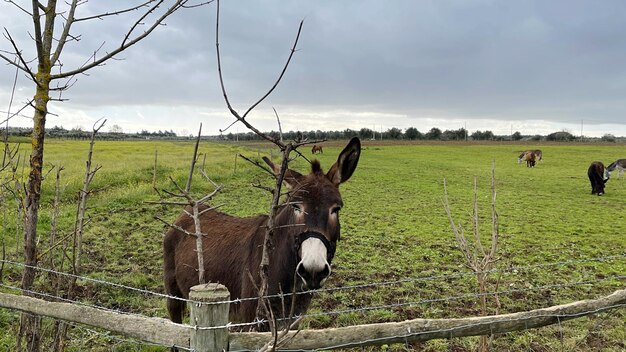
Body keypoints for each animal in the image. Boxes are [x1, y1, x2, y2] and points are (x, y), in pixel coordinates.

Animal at [163, 138, 360, 330]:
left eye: (336, 209)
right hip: (173, 293)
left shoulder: (291, 324)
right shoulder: (251, 322)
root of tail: (187, 211)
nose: (313, 270)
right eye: (295, 206)